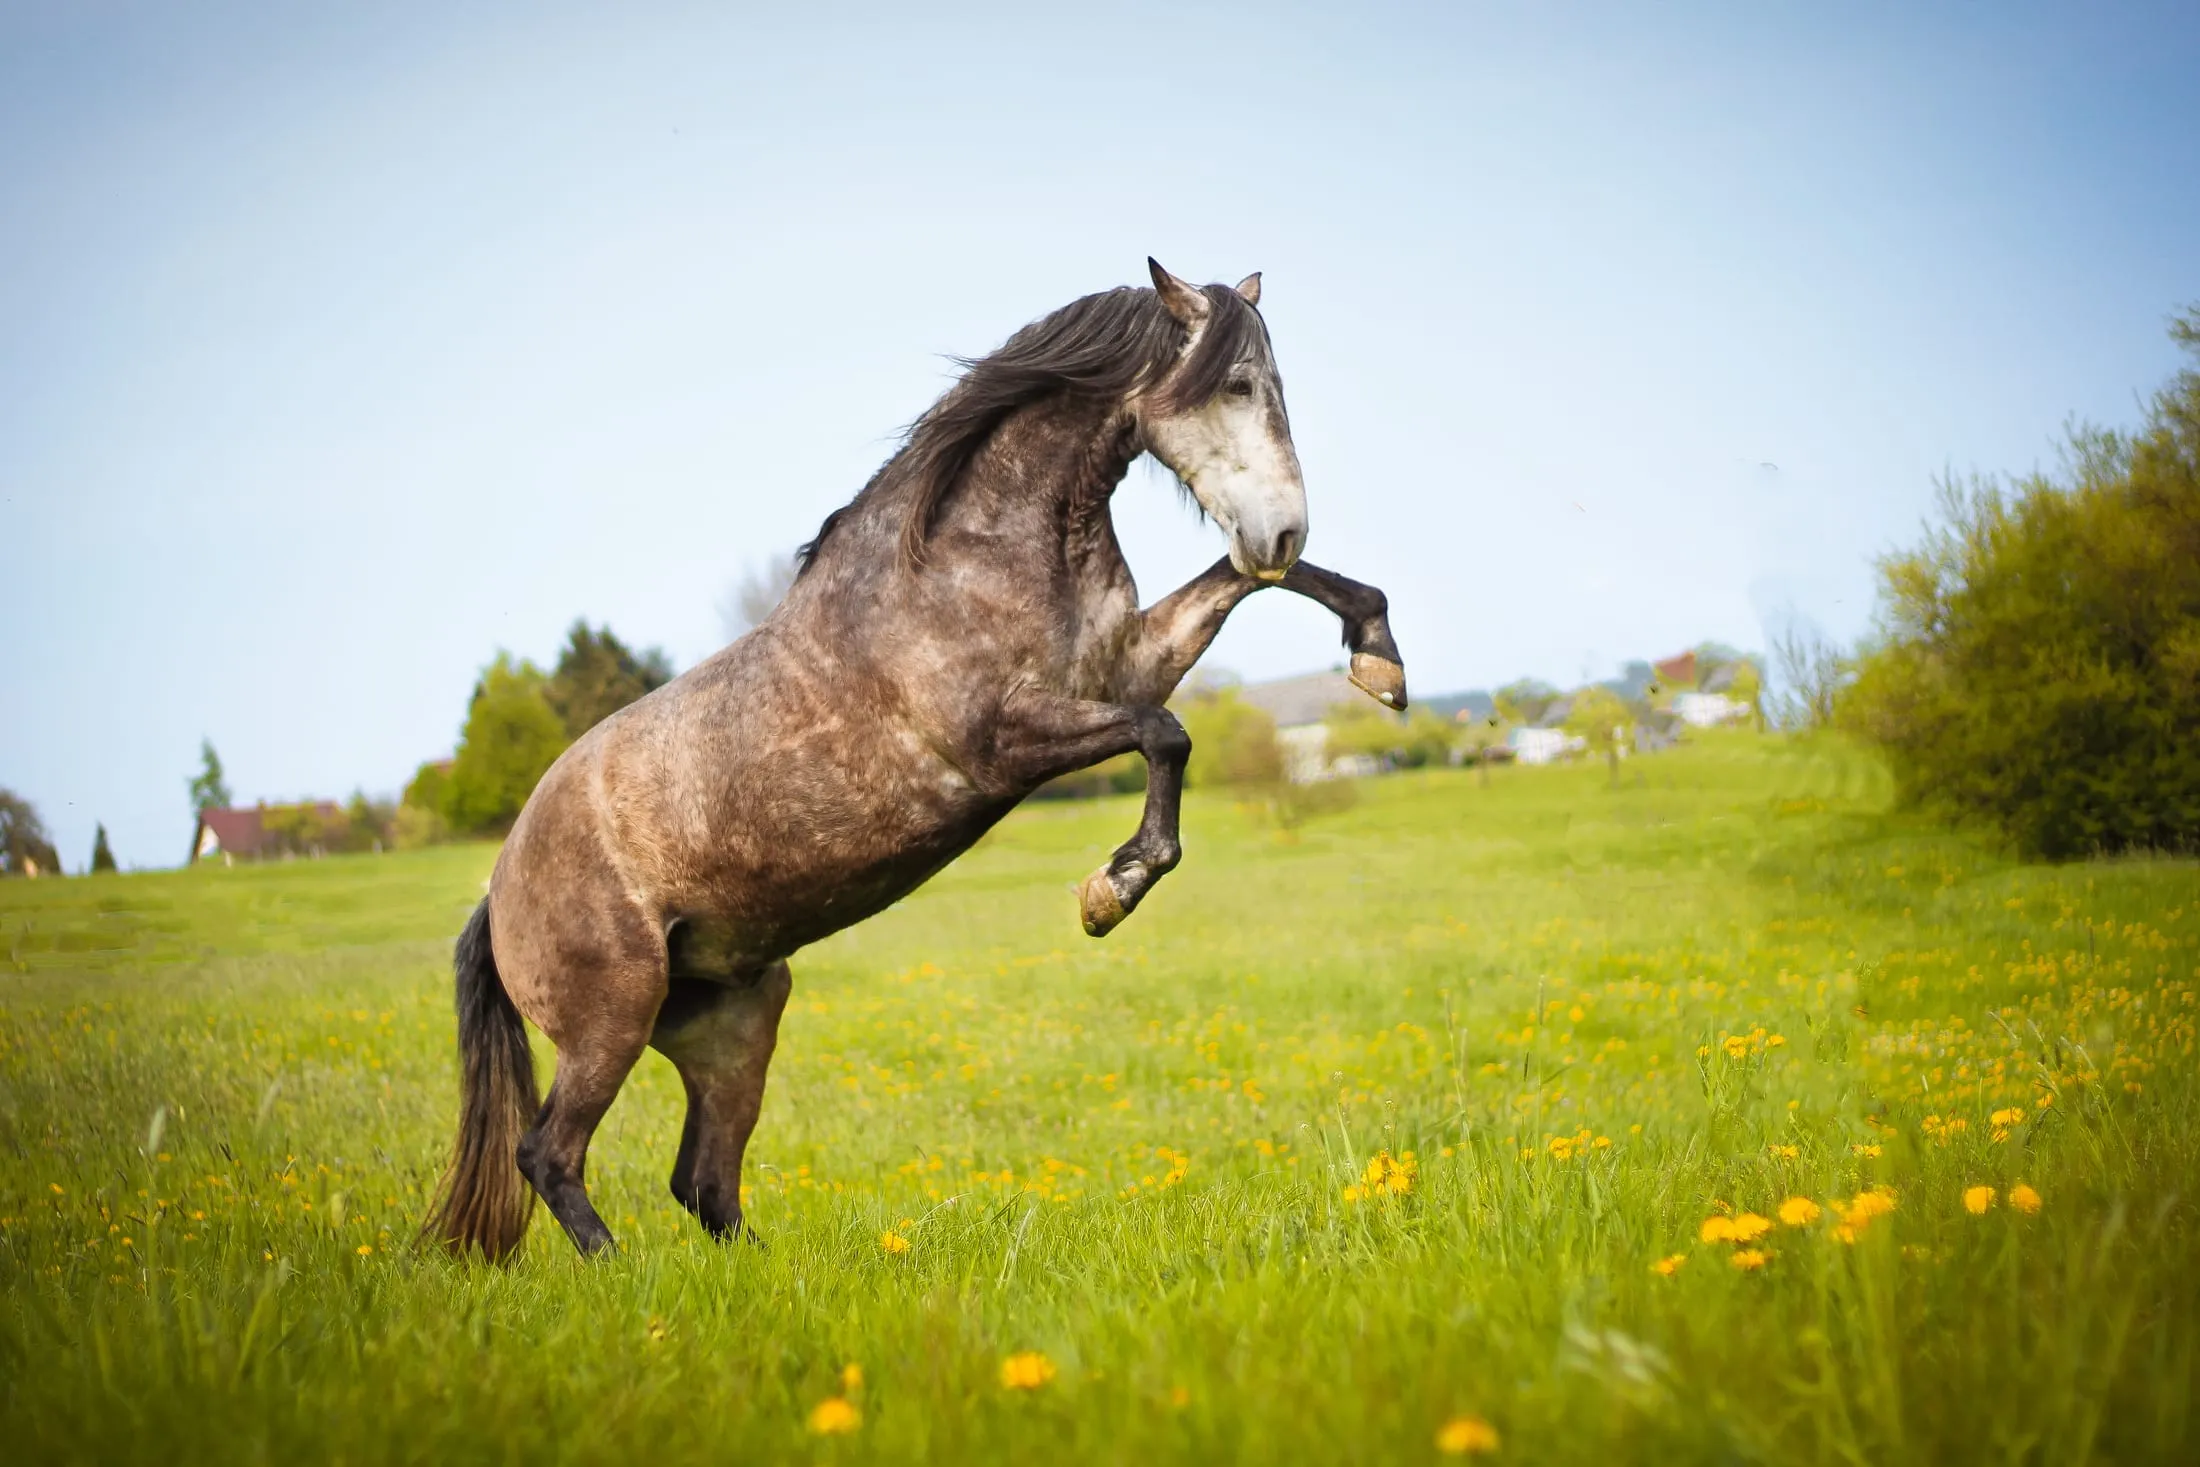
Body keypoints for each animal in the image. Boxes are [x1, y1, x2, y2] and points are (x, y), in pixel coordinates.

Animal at [423, 260, 1408, 1260]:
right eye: (1237, 385)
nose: (1281, 526)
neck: (967, 555)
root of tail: (497, 895)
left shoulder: (1123, 663)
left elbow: (1245, 589)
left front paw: (1379, 662)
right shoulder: (1002, 741)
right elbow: (1167, 732)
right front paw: (1112, 890)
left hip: (734, 1019)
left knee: (702, 1180)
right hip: (611, 1016)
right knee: (550, 1153)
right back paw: (621, 1271)